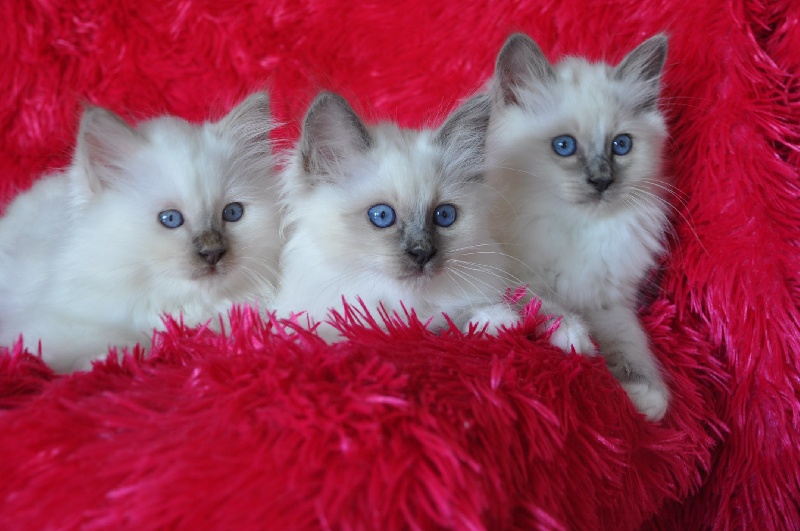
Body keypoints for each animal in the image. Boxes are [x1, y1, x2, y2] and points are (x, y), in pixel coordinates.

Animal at [0, 92, 282, 374]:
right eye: (170, 219)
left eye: (232, 213)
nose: (213, 253)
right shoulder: (36, 328)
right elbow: (120, 341)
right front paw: (107, 360)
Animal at [488, 35, 676, 422]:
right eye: (564, 146)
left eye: (621, 145)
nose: (602, 181)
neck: (576, 225)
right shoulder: (509, 274)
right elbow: (540, 303)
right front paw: (574, 335)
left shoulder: (609, 301)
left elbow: (631, 340)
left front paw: (645, 395)